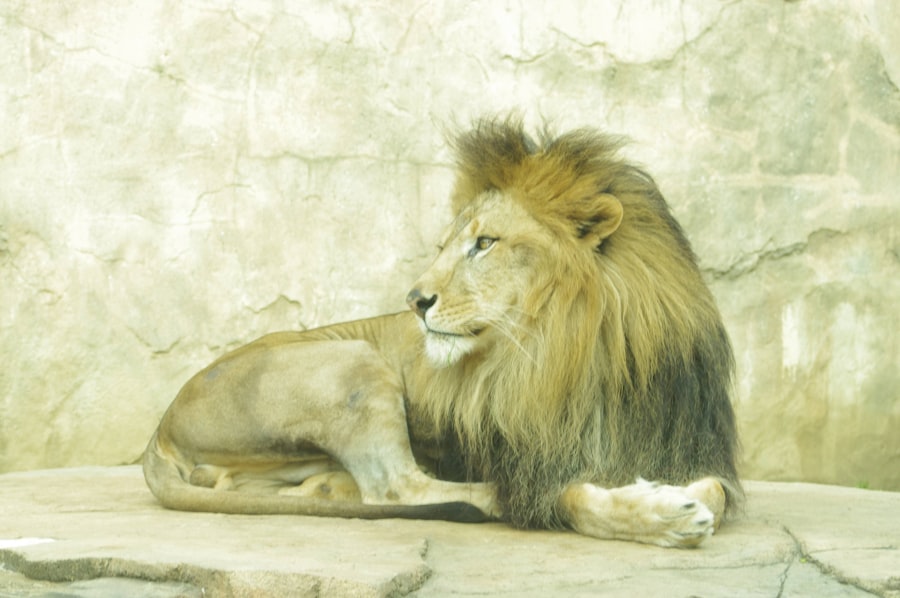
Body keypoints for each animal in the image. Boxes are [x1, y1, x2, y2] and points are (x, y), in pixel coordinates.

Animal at [143, 117, 740, 548]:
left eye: (485, 243)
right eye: (443, 247)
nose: (414, 300)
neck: (577, 351)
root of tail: (161, 427)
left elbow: (715, 489)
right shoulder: (532, 466)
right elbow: (566, 497)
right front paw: (664, 514)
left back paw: (332, 486)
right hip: (351, 362)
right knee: (397, 489)